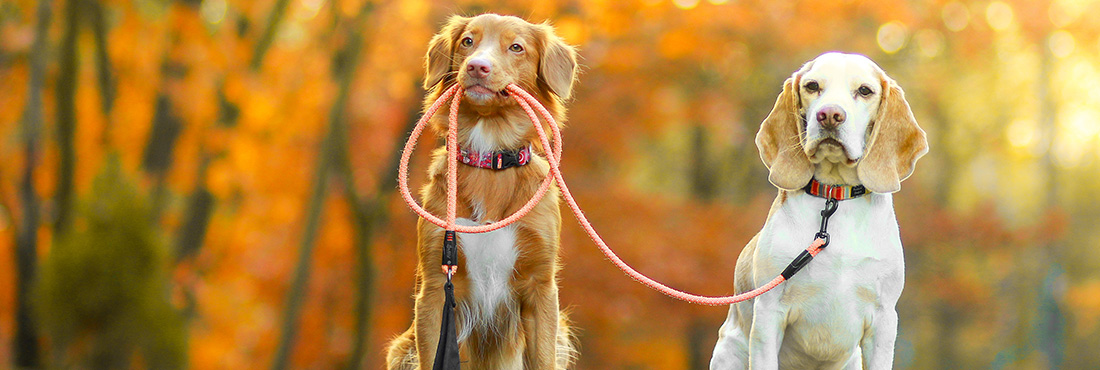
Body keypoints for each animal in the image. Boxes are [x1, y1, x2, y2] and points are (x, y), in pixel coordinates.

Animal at [385, 13, 576, 367]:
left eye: (516, 47)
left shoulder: (541, 288)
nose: (477, 66)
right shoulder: (436, 288)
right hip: (401, 349)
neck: (490, 158)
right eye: (467, 42)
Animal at [712, 52, 928, 370]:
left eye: (865, 90)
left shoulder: (884, 320)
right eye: (812, 86)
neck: (835, 198)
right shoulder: (769, 314)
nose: (829, 115)